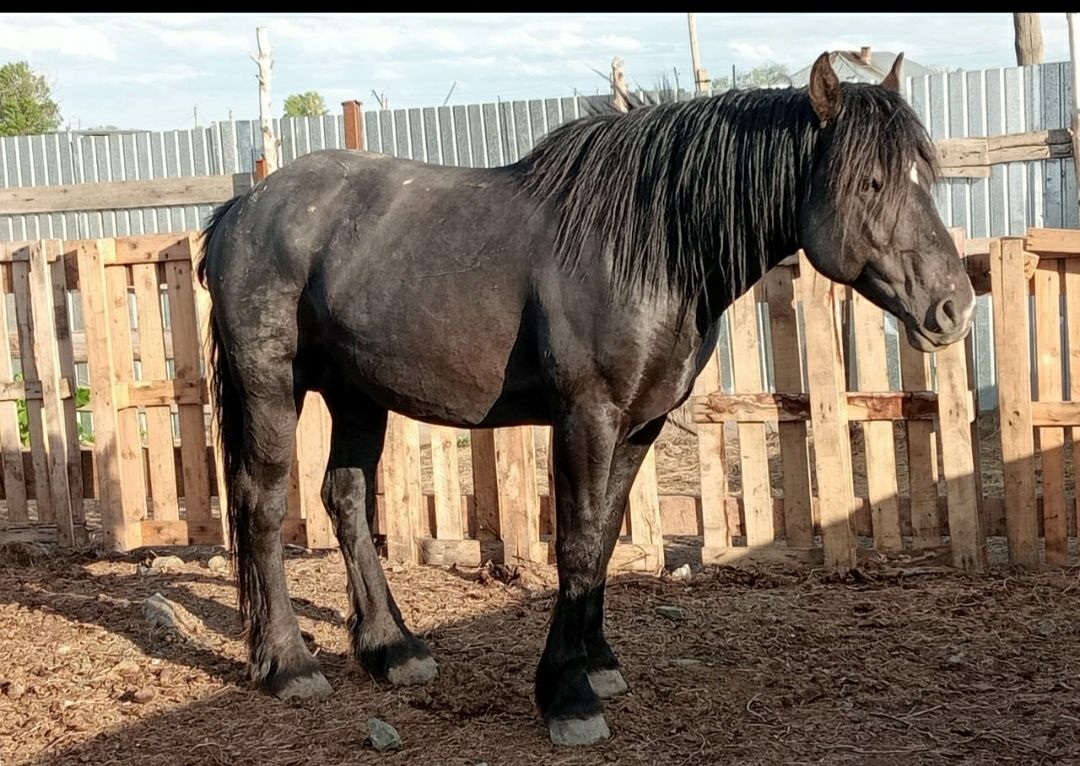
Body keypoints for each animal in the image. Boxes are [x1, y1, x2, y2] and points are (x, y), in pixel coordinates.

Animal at [198, 52, 976, 738]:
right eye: (870, 182)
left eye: (923, 177)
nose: (954, 307)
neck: (649, 246)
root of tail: (244, 206)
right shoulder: (586, 418)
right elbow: (573, 546)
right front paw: (567, 697)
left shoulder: (640, 426)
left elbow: (602, 542)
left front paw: (596, 665)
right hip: (271, 385)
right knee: (262, 506)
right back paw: (288, 665)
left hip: (358, 393)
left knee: (347, 500)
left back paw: (393, 650)